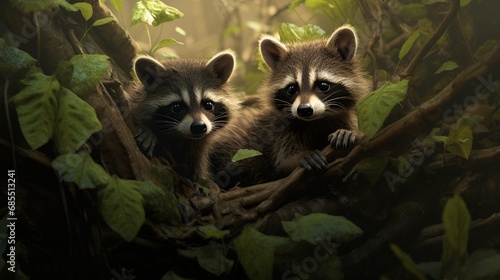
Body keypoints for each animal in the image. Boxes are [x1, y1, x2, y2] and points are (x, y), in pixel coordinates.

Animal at [210, 25, 372, 189]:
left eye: (323, 85)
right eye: (292, 89)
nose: (304, 110)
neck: (317, 120)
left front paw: (347, 133)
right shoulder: (280, 130)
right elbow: (284, 159)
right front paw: (301, 156)